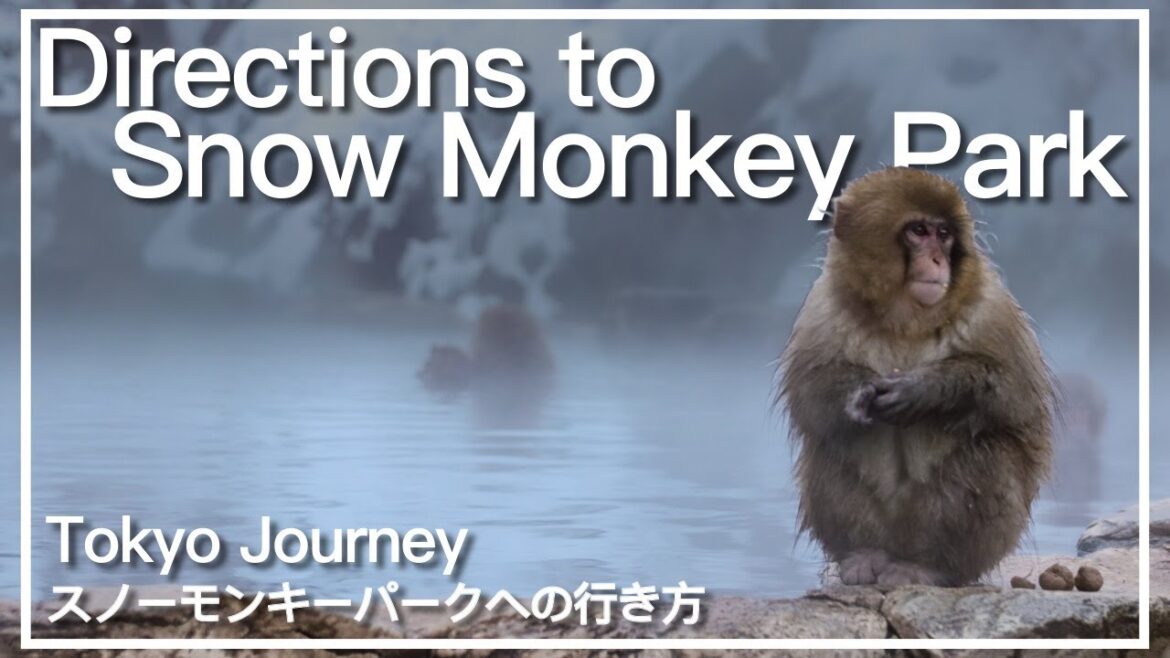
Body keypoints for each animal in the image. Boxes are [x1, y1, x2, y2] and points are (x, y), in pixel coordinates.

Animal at [777, 166, 1054, 587]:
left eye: (944, 234)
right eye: (919, 231)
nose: (939, 260)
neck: (904, 319)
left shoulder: (990, 306)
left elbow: (1014, 397)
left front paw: (923, 390)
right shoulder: (825, 305)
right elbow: (809, 393)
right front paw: (857, 395)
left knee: (991, 452)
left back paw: (929, 566)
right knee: (831, 443)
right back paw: (863, 555)